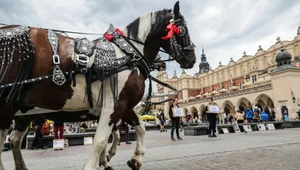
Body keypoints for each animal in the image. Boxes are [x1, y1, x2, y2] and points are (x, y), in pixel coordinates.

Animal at [0, 1, 196, 170]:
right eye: (183, 30)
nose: (192, 59)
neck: (127, 54)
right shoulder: (114, 106)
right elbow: (101, 140)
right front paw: (101, 161)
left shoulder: (123, 107)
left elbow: (139, 128)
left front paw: (135, 159)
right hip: (7, 106)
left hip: (23, 112)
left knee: (14, 139)